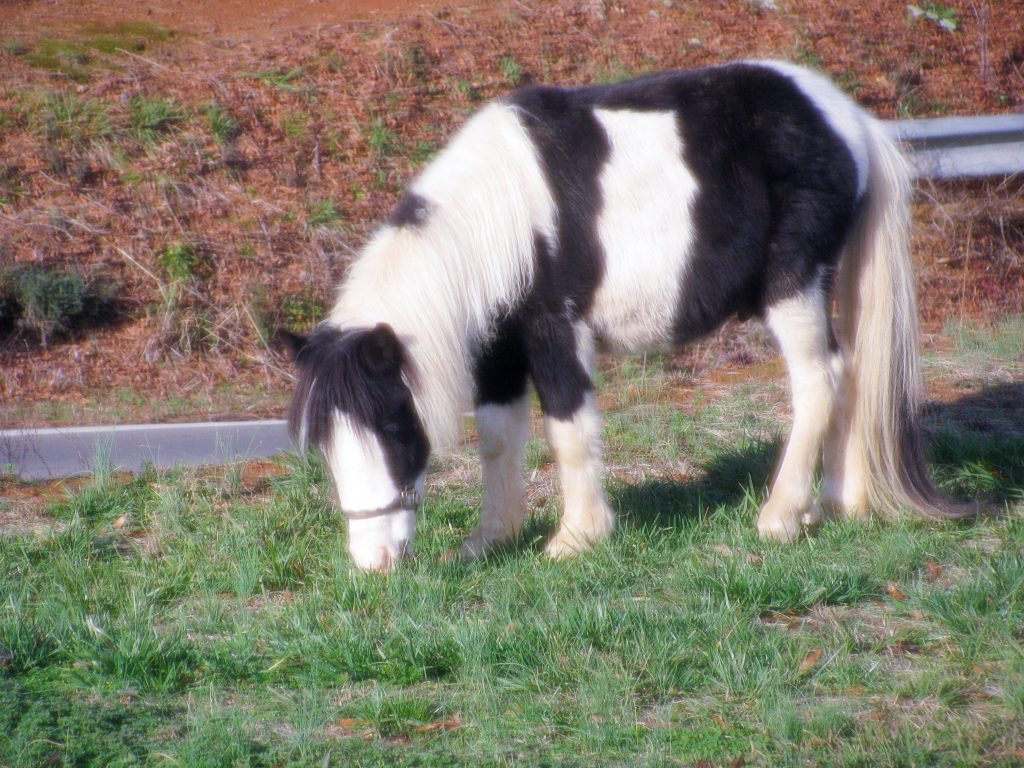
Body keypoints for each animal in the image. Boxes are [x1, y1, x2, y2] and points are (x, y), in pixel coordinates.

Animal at [282, 63, 966, 573]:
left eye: (394, 428)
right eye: (324, 444)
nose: (372, 562)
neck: (499, 216)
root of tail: (848, 119)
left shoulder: (555, 332)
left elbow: (568, 429)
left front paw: (577, 538)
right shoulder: (497, 350)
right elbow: (498, 438)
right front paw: (492, 538)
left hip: (793, 285)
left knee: (818, 383)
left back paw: (780, 517)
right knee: (847, 377)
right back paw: (838, 503)